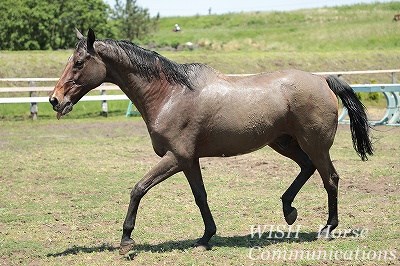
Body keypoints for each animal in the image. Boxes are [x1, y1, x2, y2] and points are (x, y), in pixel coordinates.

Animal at [49, 28, 372, 255]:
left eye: (79, 62)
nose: (55, 100)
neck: (170, 95)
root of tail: (323, 79)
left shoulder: (177, 157)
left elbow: (138, 189)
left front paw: (127, 240)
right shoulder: (189, 160)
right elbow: (200, 196)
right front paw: (206, 237)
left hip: (315, 145)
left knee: (330, 179)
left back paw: (327, 228)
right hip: (283, 143)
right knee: (307, 169)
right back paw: (288, 210)